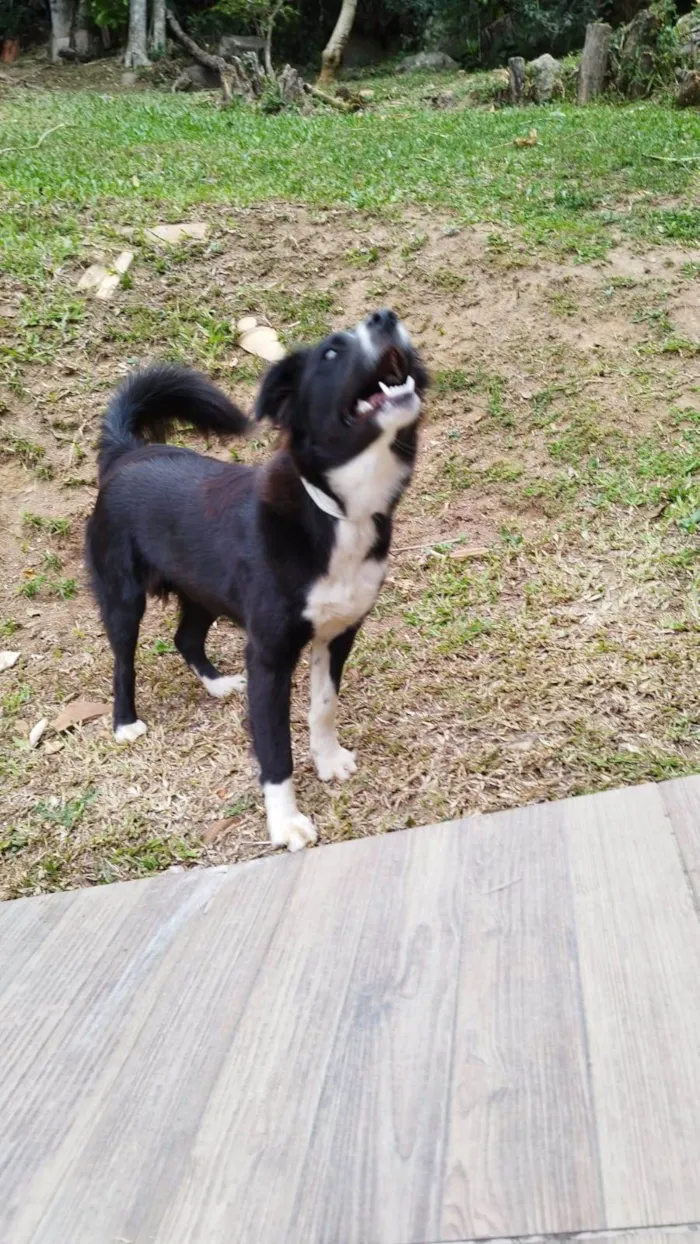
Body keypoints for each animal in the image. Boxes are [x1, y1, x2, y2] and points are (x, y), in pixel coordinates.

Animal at [85, 313, 430, 855]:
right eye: (332, 353)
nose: (385, 317)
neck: (335, 511)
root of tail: (126, 453)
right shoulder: (269, 654)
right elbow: (274, 747)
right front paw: (285, 822)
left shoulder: (339, 633)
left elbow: (324, 707)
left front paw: (329, 760)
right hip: (122, 596)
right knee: (124, 661)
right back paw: (126, 722)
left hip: (203, 589)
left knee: (185, 637)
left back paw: (217, 684)